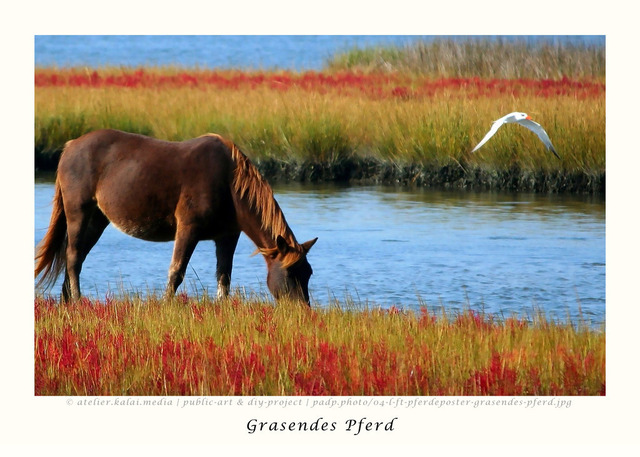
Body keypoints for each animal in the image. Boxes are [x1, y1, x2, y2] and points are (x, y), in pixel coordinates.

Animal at [34, 129, 318, 305]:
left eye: (308, 273)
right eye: (291, 273)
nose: (302, 310)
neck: (228, 182)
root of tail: (70, 146)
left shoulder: (227, 236)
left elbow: (224, 276)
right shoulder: (188, 229)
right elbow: (176, 272)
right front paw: (165, 305)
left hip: (97, 219)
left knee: (77, 257)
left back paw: (68, 300)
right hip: (78, 212)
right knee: (73, 257)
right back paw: (77, 300)